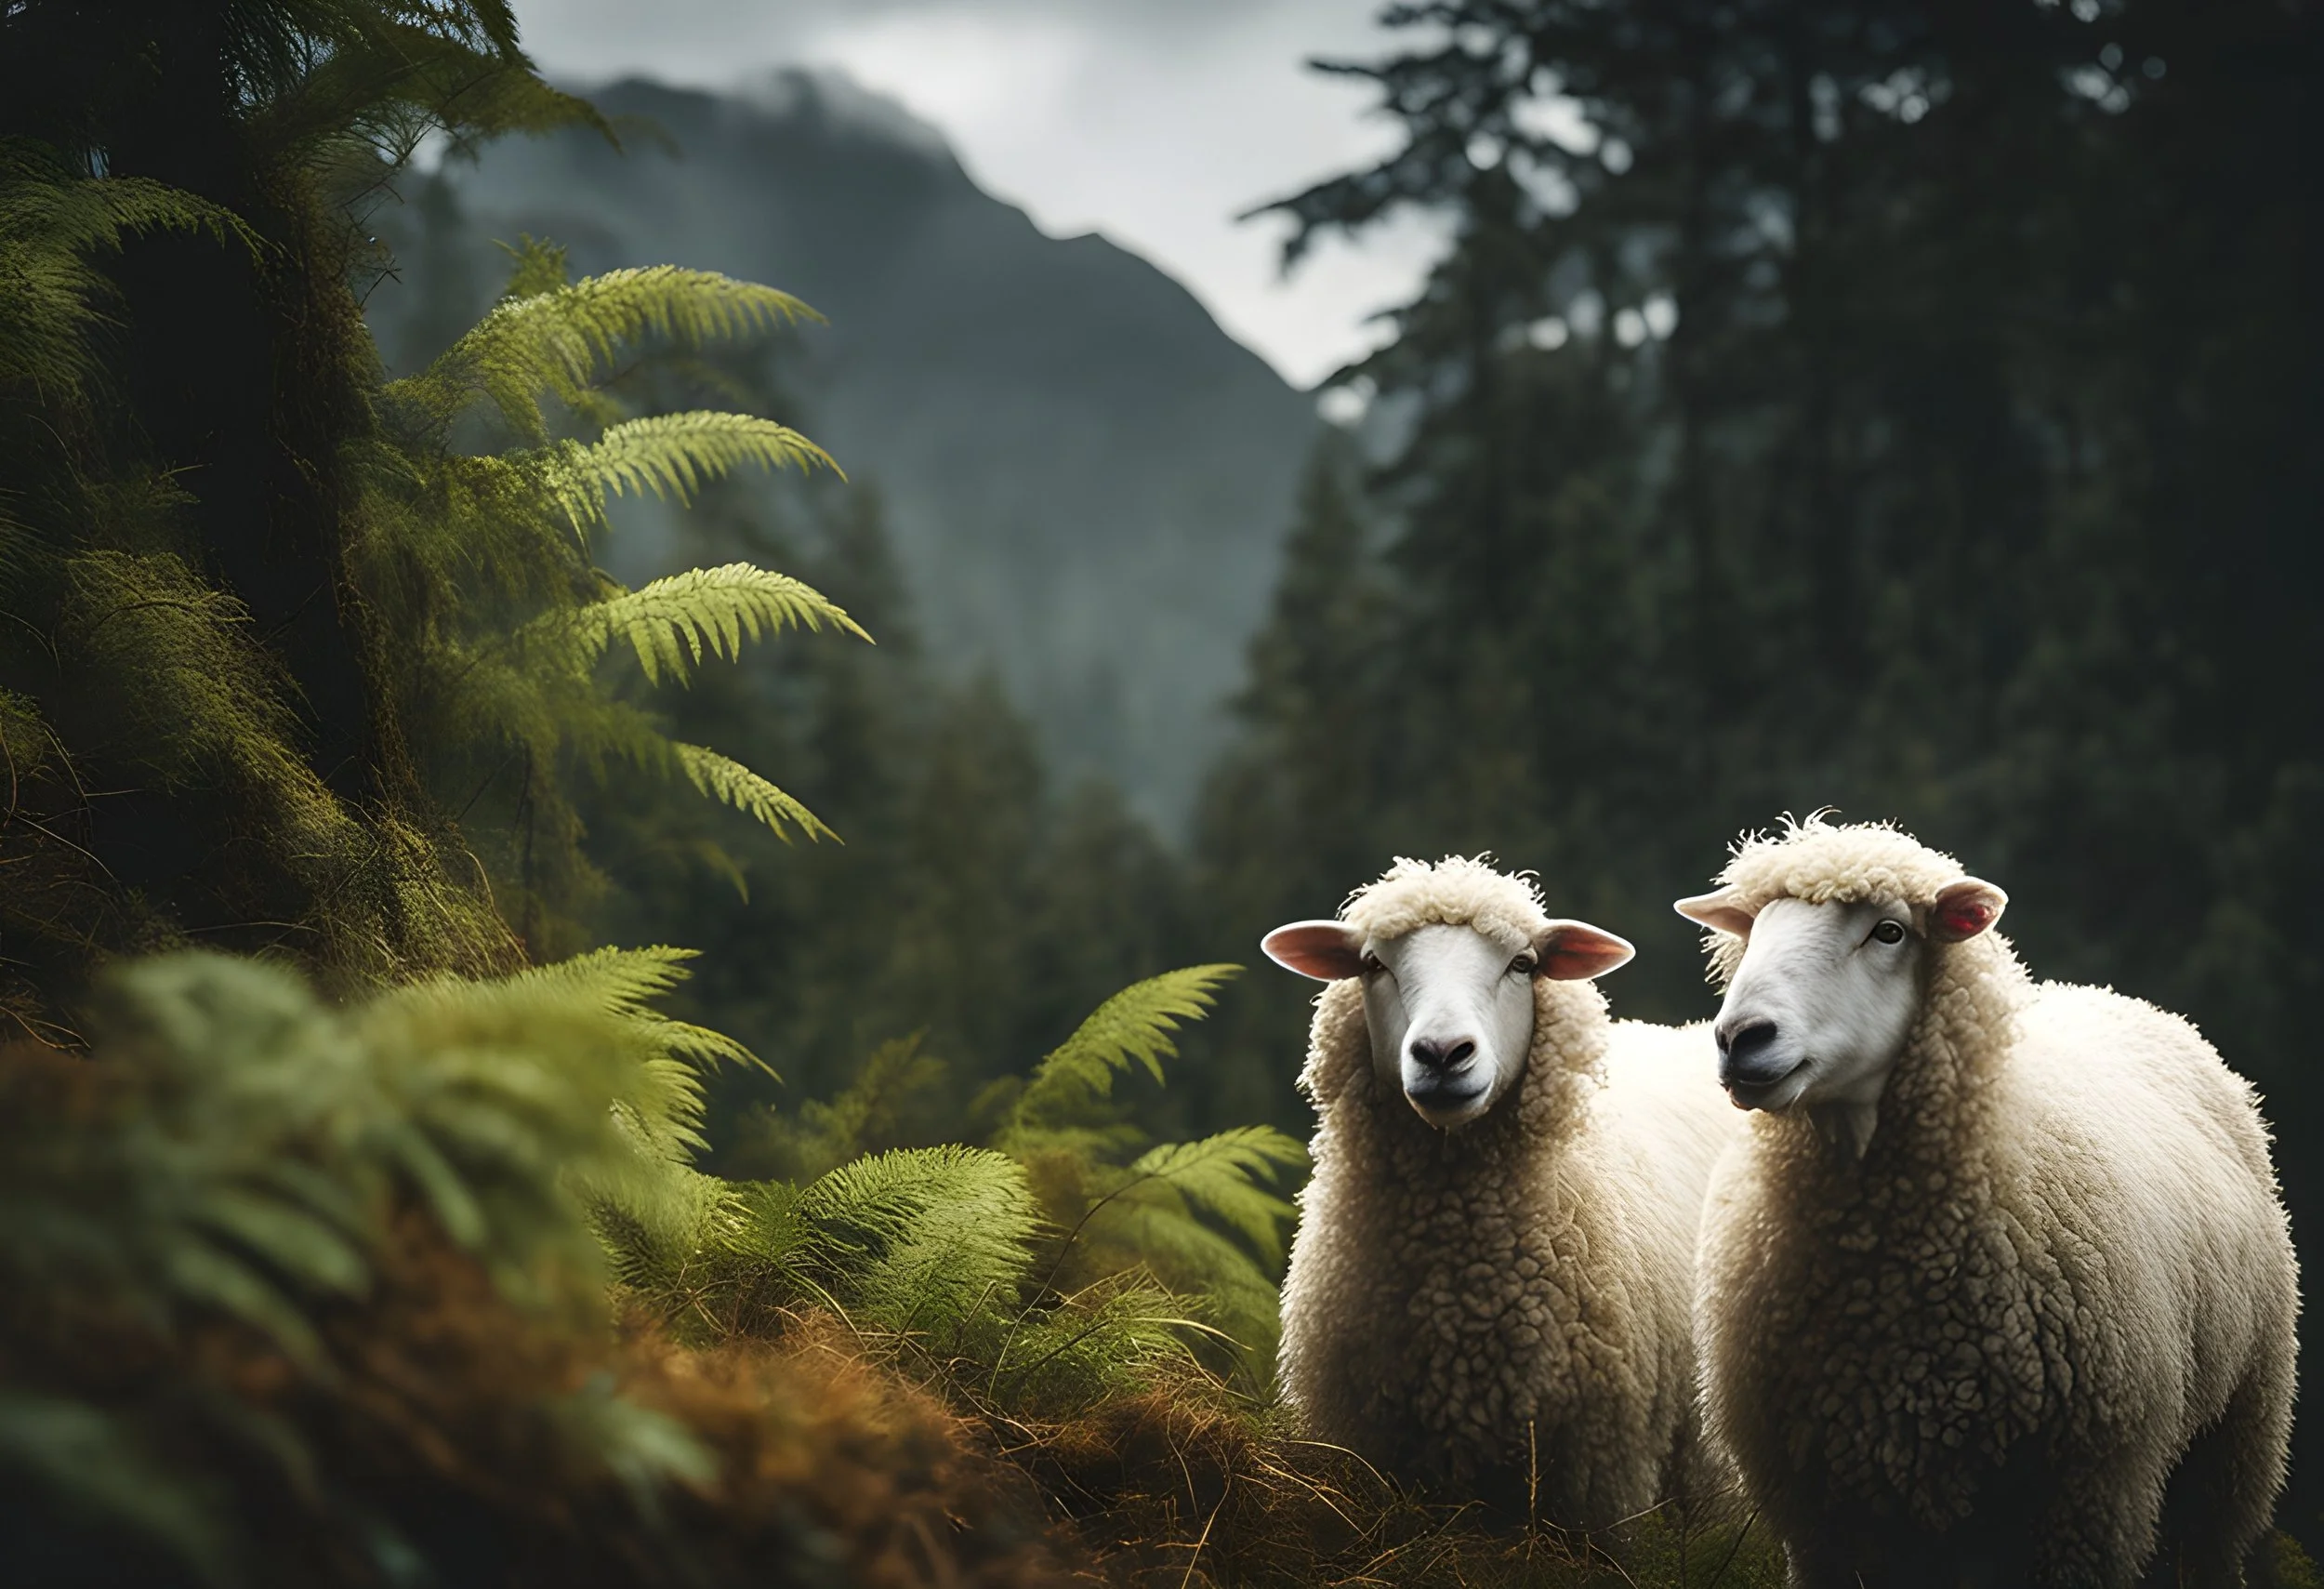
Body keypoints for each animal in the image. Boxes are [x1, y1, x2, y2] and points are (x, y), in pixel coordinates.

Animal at [1675, 816, 2299, 1588]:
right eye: (1755, 927)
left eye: (1889, 931)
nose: (1741, 1037)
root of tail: (2111, 994)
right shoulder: (1827, 1515)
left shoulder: (2087, 1494)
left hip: (2235, 1436)